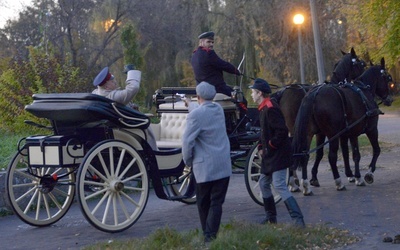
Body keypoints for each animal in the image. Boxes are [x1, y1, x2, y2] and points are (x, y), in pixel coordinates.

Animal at [292, 58, 392, 195]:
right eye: (387, 78)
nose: (390, 99)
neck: (364, 91)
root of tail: (314, 95)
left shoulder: (350, 133)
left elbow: (353, 155)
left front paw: (356, 177)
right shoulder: (371, 129)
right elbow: (375, 150)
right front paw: (368, 174)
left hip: (310, 133)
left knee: (304, 155)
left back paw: (306, 185)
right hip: (332, 134)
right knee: (332, 157)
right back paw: (338, 182)